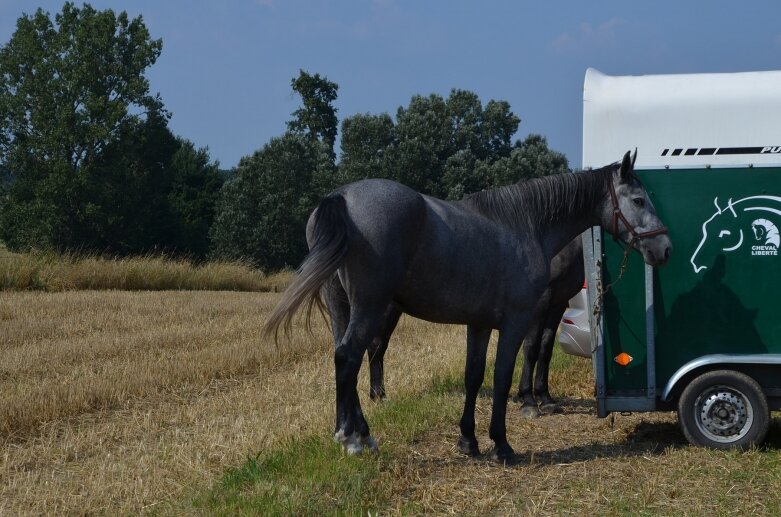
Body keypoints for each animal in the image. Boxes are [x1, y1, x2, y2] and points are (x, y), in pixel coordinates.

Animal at [266, 149, 672, 460]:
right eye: (638, 200)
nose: (664, 249)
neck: (524, 224)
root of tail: (342, 196)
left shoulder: (479, 323)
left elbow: (473, 377)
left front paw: (468, 441)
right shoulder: (518, 320)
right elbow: (504, 374)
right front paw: (503, 442)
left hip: (342, 306)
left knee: (342, 359)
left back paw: (351, 431)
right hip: (371, 306)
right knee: (351, 356)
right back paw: (354, 438)